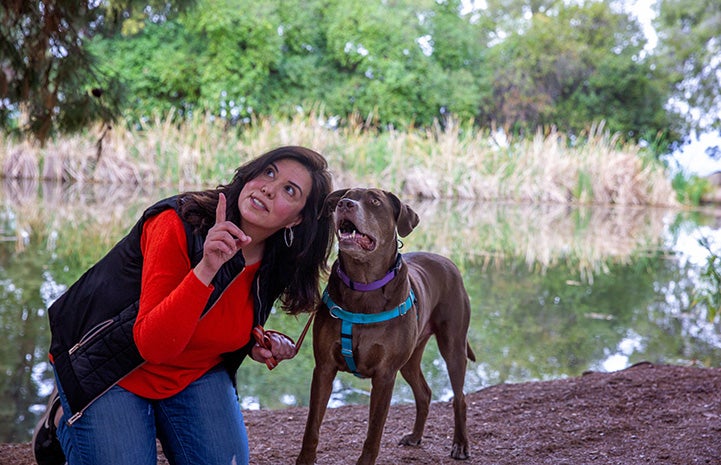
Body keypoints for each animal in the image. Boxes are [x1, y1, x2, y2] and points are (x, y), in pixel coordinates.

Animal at [296, 187, 476, 462]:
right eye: (344, 197)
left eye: (375, 202)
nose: (346, 204)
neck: (363, 284)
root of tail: (447, 261)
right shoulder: (324, 367)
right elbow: (312, 425)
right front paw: (305, 459)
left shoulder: (385, 374)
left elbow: (374, 431)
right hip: (411, 357)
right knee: (424, 393)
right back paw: (415, 436)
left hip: (453, 346)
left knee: (460, 397)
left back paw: (461, 444)